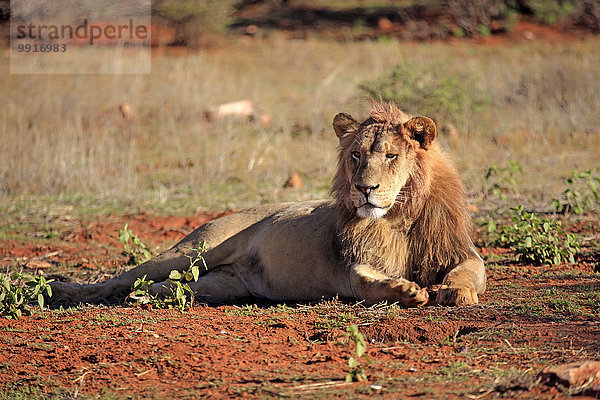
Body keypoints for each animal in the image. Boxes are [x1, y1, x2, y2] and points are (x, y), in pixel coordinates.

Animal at [49, 102, 486, 306]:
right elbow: (369, 281)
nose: (365, 189)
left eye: (392, 156)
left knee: (166, 286)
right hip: (197, 247)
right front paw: (406, 290)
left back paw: (148, 296)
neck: (398, 217)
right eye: (356, 156)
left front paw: (455, 292)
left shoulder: (461, 251)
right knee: (120, 279)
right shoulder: (353, 266)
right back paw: (61, 290)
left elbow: (469, 272)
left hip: (220, 284)